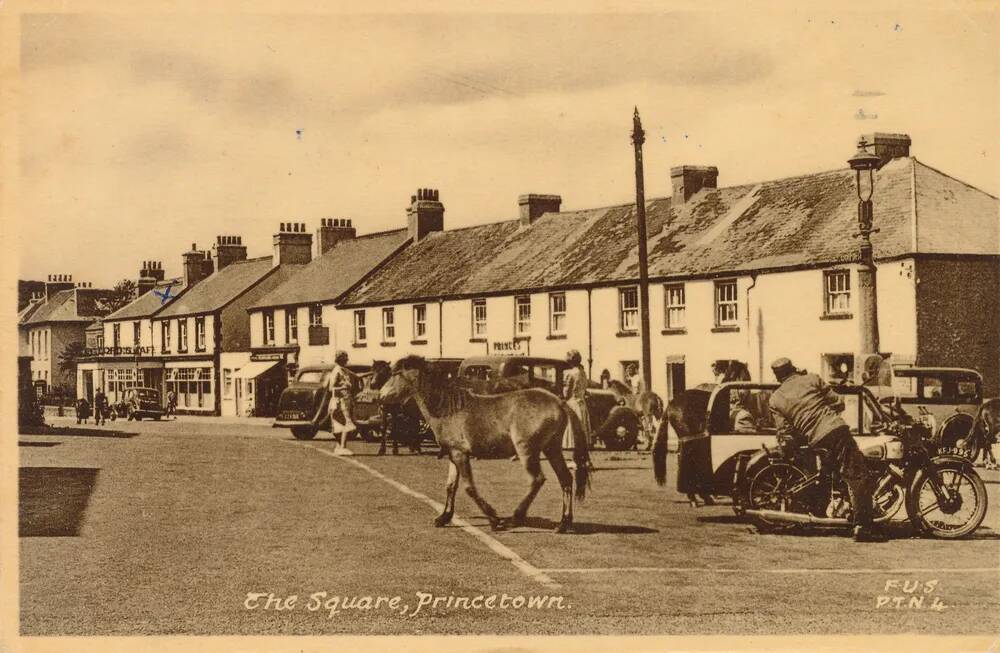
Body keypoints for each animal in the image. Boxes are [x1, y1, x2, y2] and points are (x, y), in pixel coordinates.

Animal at [378, 354, 588, 532]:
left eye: (397, 374)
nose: (380, 397)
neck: (448, 407)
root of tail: (559, 402)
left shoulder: (461, 455)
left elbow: (469, 487)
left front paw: (494, 519)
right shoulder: (453, 454)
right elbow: (450, 486)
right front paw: (443, 517)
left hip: (527, 450)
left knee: (537, 480)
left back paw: (516, 517)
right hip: (551, 448)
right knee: (565, 479)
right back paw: (563, 524)